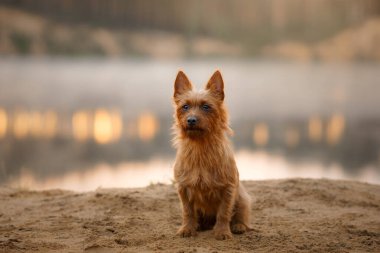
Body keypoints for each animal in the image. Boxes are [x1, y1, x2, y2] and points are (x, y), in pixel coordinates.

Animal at [171, 70, 249, 240]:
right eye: (185, 106)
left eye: (206, 107)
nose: (191, 120)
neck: (200, 146)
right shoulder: (183, 188)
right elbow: (188, 211)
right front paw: (187, 229)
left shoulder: (228, 189)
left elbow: (224, 213)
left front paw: (222, 231)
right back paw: (199, 226)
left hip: (242, 197)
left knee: (241, 213)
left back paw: (239, 226)